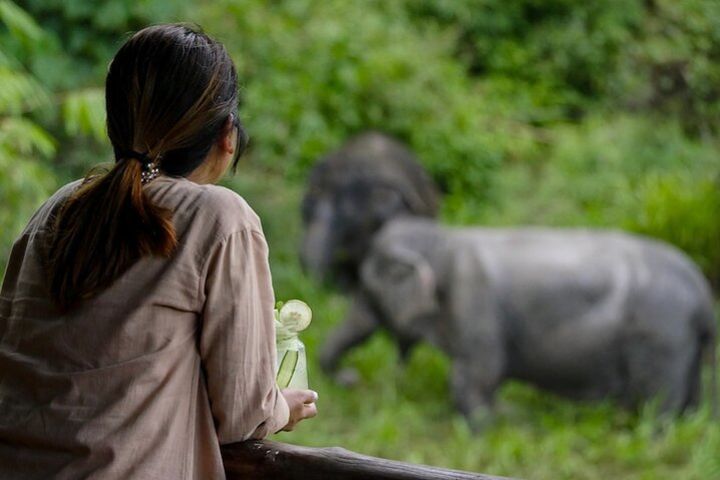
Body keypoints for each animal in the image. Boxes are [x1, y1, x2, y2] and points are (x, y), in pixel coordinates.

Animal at [320, 218, 716, 424]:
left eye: (367, 291)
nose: (352, 378)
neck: (443, 238)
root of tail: (704, 294)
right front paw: (501, 418)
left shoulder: (473, 298)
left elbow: (476, 372)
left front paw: (486, 427)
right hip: (681, 343)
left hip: (662, 335)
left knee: (659, 400)